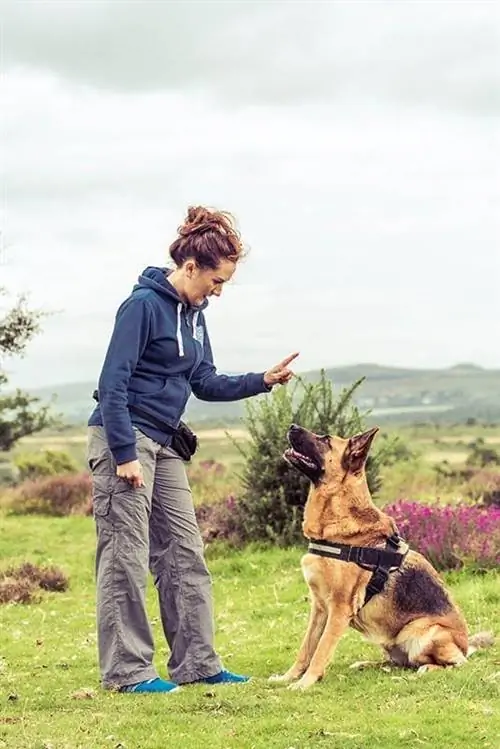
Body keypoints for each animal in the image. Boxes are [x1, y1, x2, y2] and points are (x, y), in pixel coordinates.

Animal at [270, 426, 492, 688]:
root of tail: (465, 646)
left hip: (420, 631)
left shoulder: (339, 609)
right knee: (399, 663)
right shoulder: (319, 608)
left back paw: (428, 668)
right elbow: (306, 648)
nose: (292, 426)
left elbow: (321, 650)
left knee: (453, 663)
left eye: (325, 439)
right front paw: (288, 677)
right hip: (390, 642)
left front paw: (304, 683)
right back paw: (367, 665)